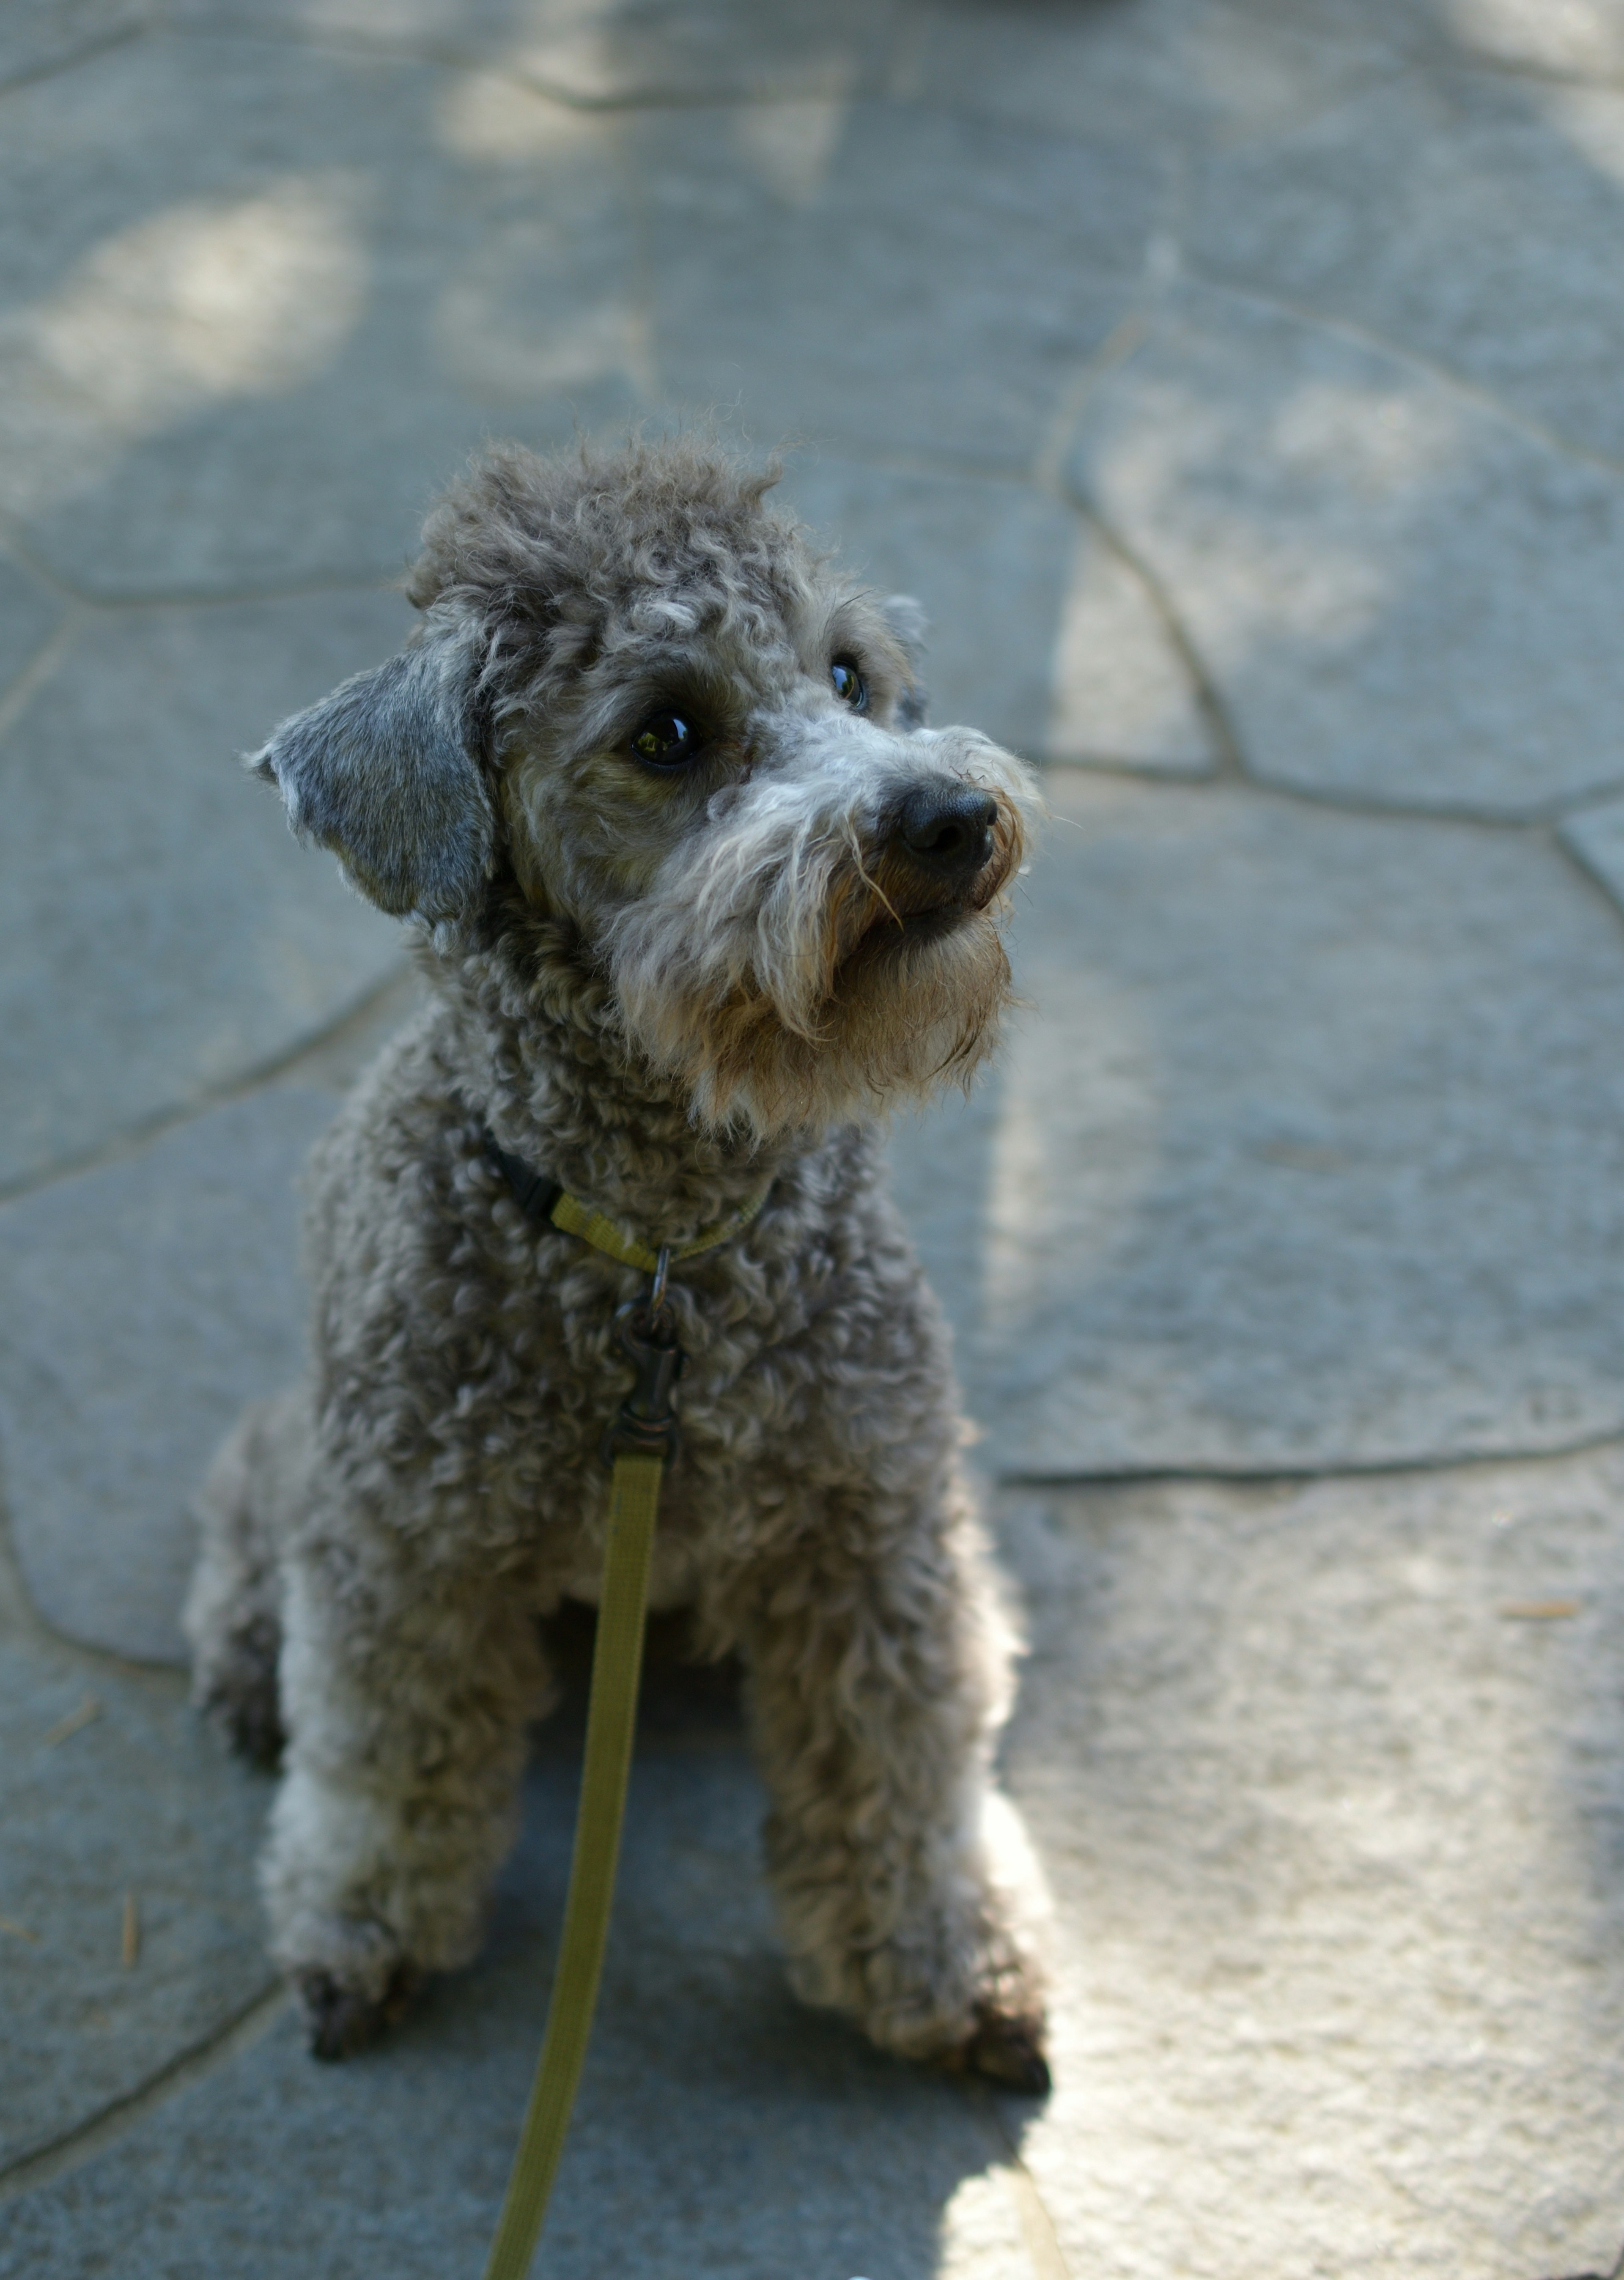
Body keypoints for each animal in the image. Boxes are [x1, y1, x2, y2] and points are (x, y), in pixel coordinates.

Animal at [184, 435, 1053, 2088]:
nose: (946, 819)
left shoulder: (872, 1528)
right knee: (251, 1513)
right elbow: (386, 1761)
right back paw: (245, 1656)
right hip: (308, 1447)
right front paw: (361, 1927)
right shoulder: (407, 1548)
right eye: (668, 731)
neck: (656, 1253)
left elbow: (900, 1761)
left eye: (849, 674)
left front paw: (941, 1951)